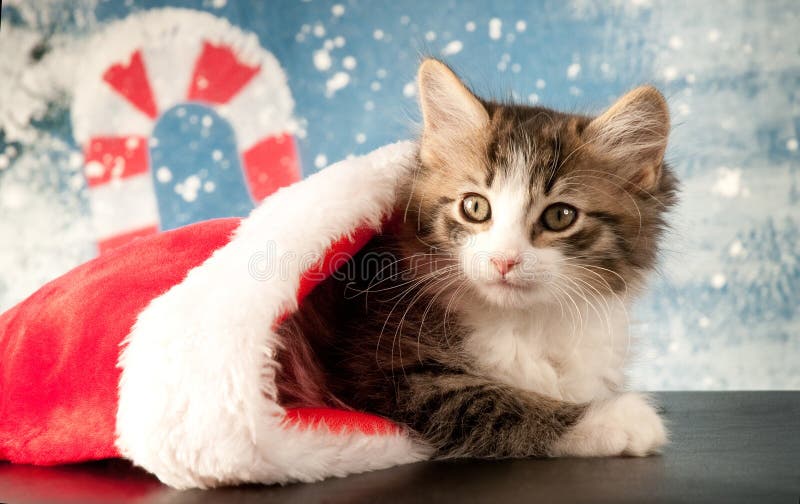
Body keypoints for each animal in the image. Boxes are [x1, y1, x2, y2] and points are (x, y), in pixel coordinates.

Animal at [278, 58, 680, 456]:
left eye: (560, 216)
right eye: (474, 207)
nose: (505, 260)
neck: (526, 320)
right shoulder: (383, 368)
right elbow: (491, 404)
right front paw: (615, 418)